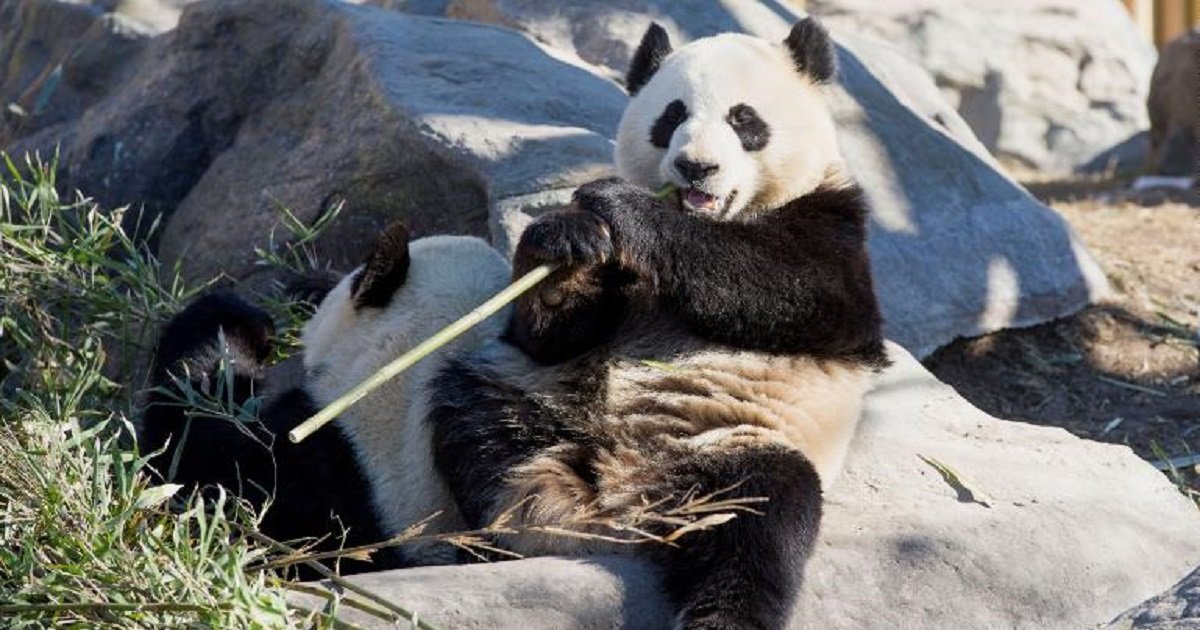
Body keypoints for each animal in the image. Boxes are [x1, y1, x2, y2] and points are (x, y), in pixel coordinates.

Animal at [142, 17, 892, 624]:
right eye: (670, 115)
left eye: (744, 119)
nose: (693, 166)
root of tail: (609, 506)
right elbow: (553, 332)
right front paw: (562, 247)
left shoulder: (839, 235)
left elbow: (787, 288)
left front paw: (620, 209)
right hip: (527, 401)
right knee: (478, 413)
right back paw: (508, 499)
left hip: (727, 446)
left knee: (758, 523)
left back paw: (722, 612)